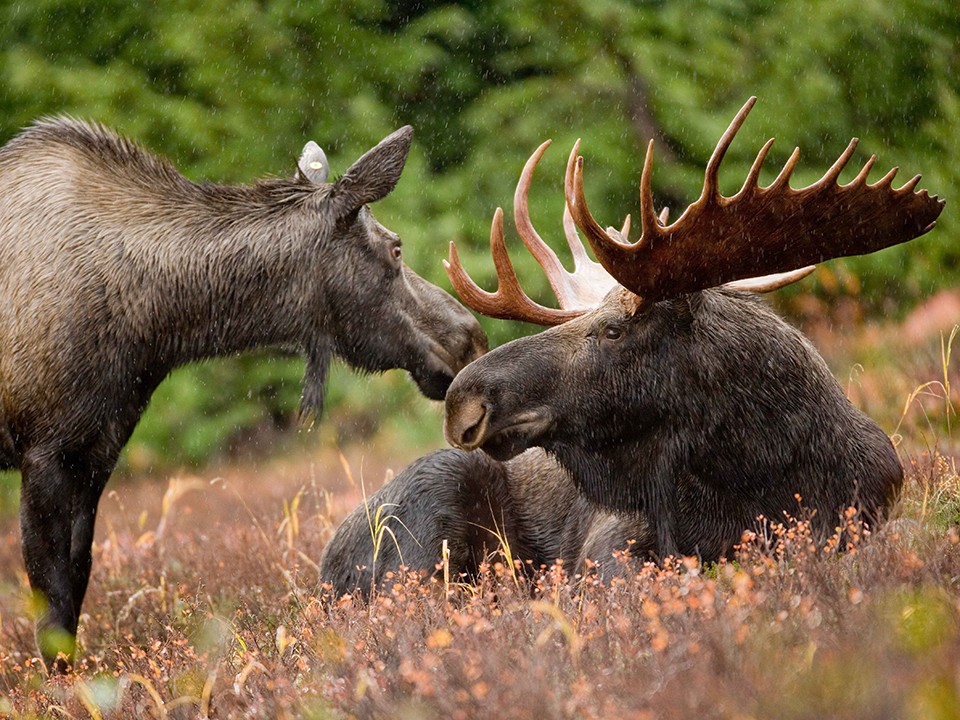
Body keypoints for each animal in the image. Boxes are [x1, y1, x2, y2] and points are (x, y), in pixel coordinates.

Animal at [0, 119, 488, 668]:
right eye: (396, 247)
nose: (470, 337)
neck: (152, 326)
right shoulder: (42, 450)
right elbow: (51, 601)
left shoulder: (96, 450)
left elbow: (77, 581)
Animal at [320, 98, 944, 600]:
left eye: (614, 330)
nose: (463, 400)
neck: (760, 470)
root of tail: (323, 570)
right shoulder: (612, 544)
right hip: (431, 508)